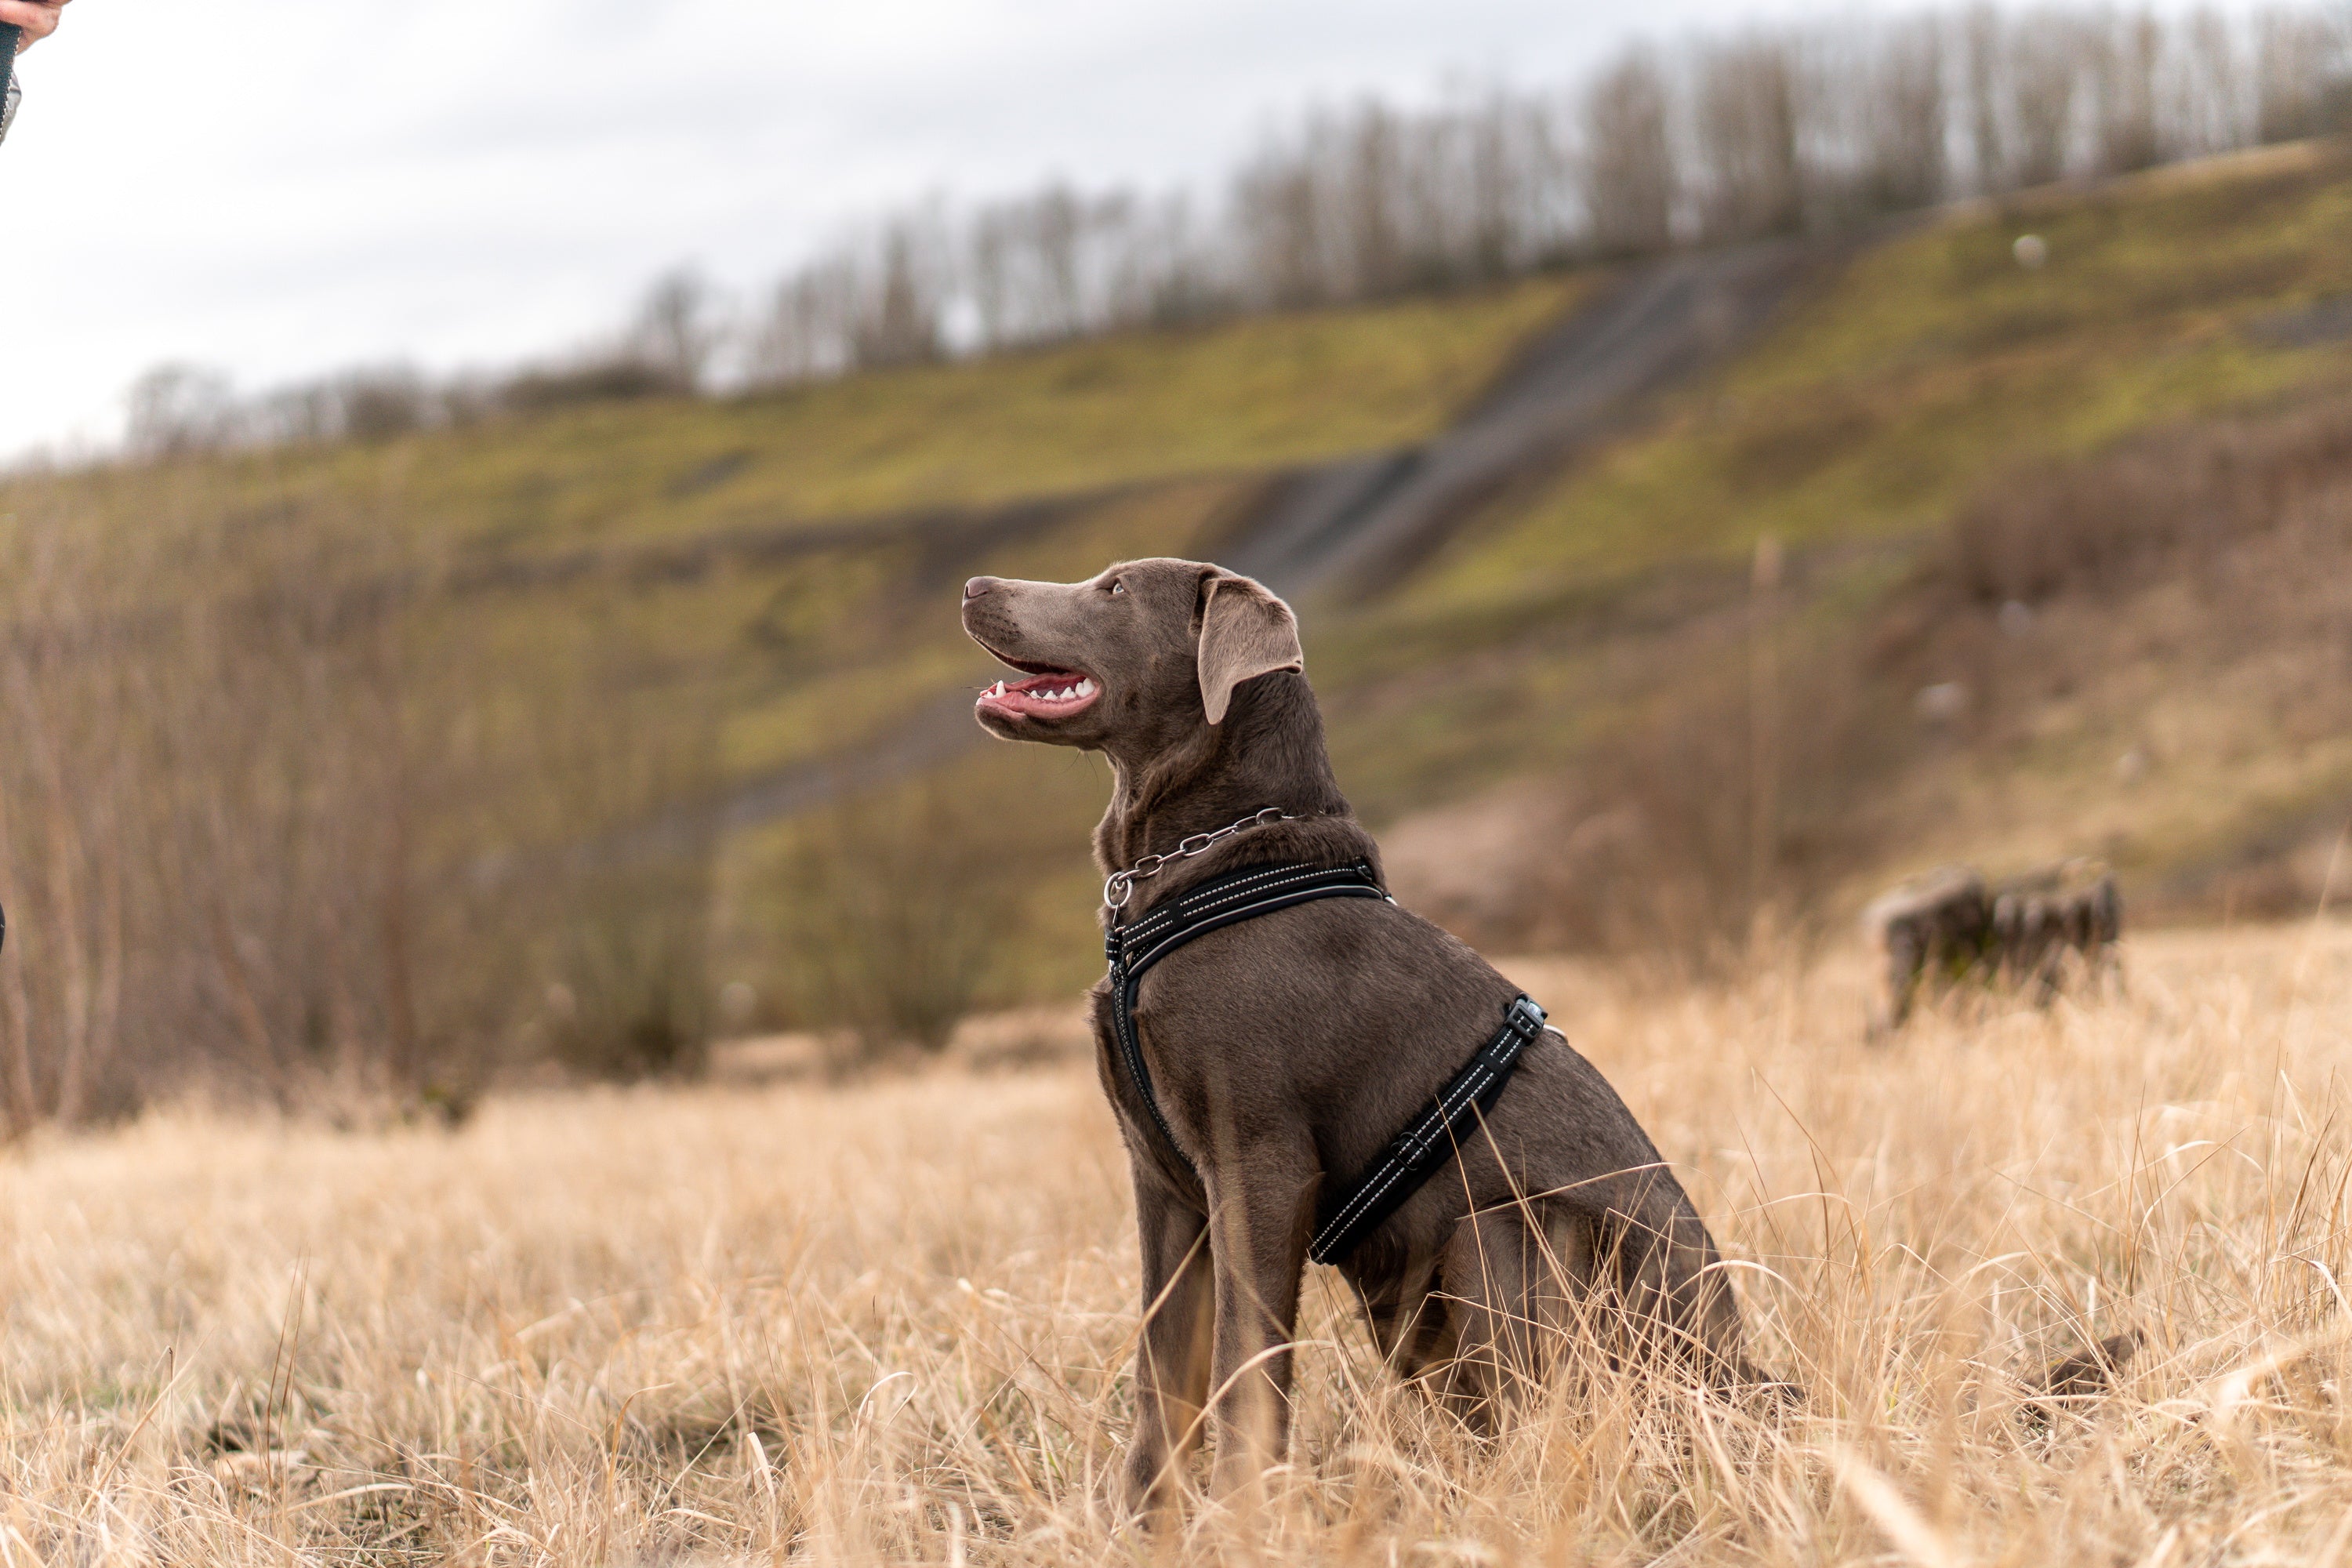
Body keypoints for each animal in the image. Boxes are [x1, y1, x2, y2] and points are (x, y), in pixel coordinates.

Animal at [960, 557, 1769, 1514]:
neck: (1201, 866)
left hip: (1499, 1233)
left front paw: (1246, 1514)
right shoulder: (1164, 1182)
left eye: (1115, 589)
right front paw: (1147, 1524)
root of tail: (1754, 1385)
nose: (973, 585)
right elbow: (1163, 1385)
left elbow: (1245, 1367)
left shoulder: (1260, 1164)